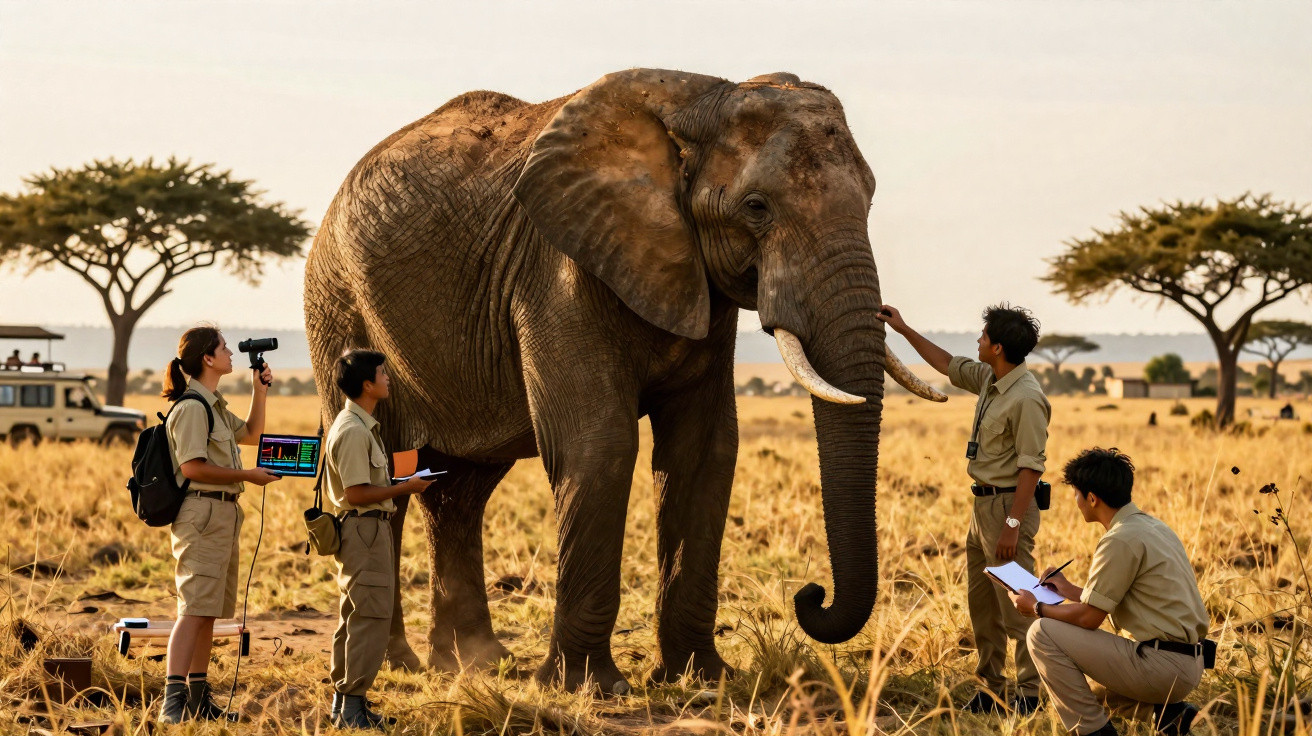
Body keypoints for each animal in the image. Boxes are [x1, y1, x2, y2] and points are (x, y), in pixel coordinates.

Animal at [304, 68, 944, 695]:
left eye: (870, 198)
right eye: (757, 206)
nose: (811, 595)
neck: (700, 100)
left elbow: (704, 453)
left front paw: (701, 679)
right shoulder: (558, 272)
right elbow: (600, 445)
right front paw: (588, 687)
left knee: (460, 492)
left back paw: (474, 665)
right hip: (338, 307)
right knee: (384, 476)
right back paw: (402, 666)